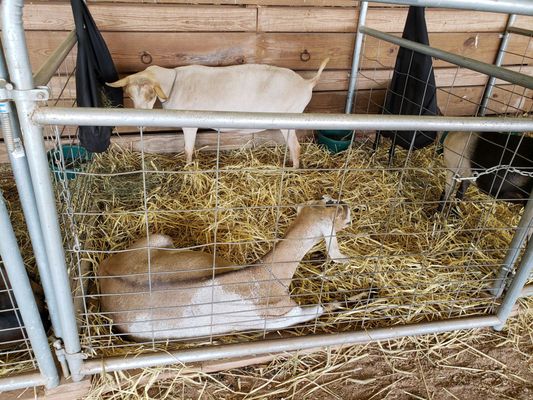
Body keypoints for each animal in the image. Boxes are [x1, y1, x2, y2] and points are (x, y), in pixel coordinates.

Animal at [98, 197, 350, 340]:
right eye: (331, 205)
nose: (348, 207)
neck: (262, 275)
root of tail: (104, 272)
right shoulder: (281, 317)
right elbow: (319, 308)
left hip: (159, 238)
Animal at [106, 58, 330, 168]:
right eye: (129, 94)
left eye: (151, 93)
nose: (139, 124)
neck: (175, 83)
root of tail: (308, 83)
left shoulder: (189, 123)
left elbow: (187, 149)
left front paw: (188, 169)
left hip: (289, 117)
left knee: (296, 147)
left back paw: (293, 169)